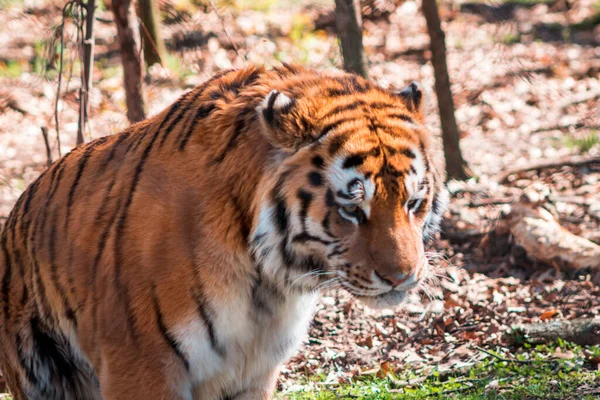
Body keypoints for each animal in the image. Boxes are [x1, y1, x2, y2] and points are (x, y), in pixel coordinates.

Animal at [0, 64, 446, 398]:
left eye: (413, 203)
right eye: (352, 209)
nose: (403, 278)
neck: (267, 280)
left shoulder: (254, 372)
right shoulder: (140, 365)